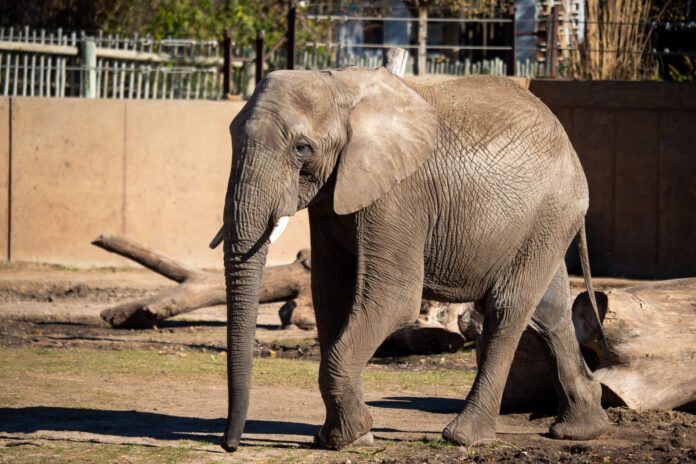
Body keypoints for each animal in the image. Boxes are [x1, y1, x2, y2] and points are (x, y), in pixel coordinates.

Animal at [216, 67, 608, 452]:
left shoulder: (398, 195)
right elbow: (331, 296)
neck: (340, 85)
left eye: (301, 148)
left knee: (506, 310)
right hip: (544, 225)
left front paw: (347, 438)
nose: (229, 445)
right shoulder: (333, 197)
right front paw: (347, 437)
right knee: (549, 313)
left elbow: (393, 299)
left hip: (550, 211)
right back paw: (579, 431)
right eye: (232, 138)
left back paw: (463, 437)